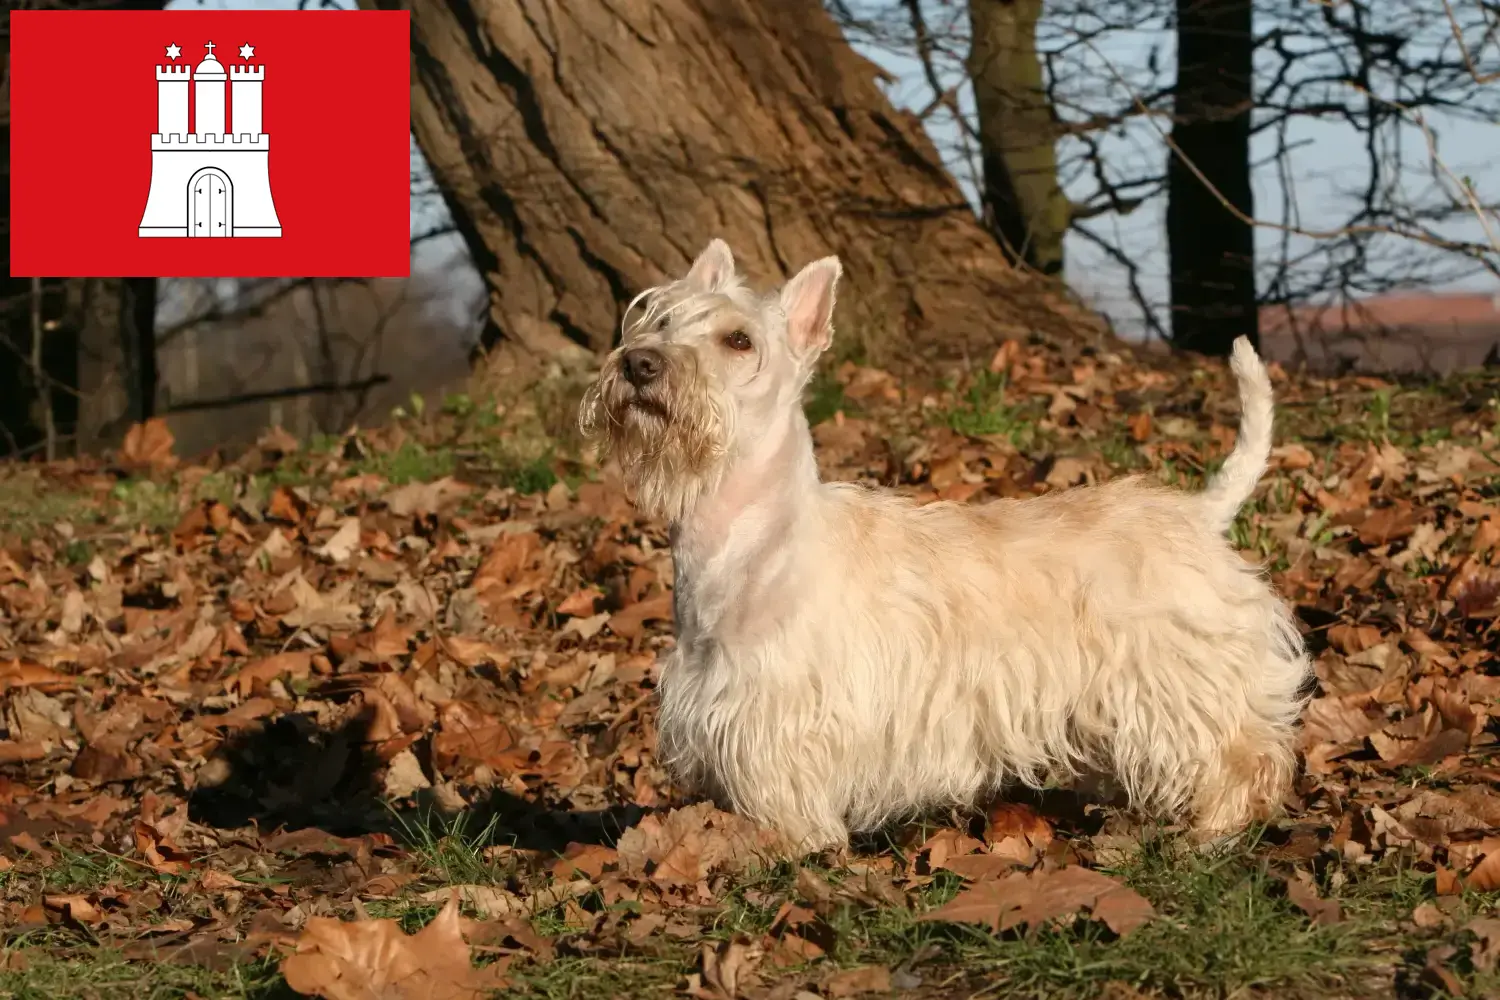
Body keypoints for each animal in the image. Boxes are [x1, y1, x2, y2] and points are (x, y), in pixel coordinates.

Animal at [585, 236, 1314, 851]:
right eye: (658, 321)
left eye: (738, 340)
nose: (640, 364)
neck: (746, 537)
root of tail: (1199, 512)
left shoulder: (778, 721)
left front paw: (786, 852)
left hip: (1181, 678)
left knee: (1244, 753)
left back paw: (1212, 831)